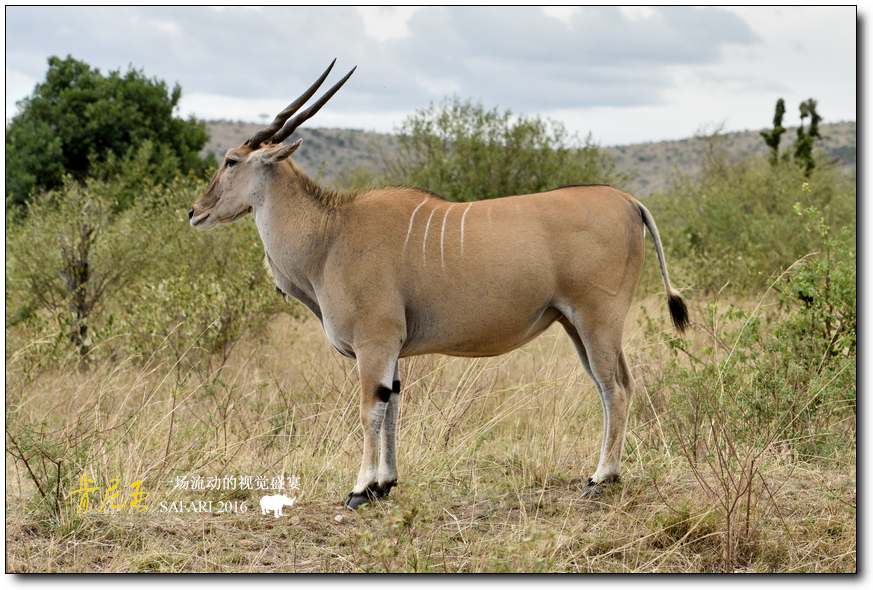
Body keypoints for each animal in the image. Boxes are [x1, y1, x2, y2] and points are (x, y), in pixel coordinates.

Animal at [191, 61, 688, 512]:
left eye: (230, 160)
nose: (196, 212)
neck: (331, 233)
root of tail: (629, 201)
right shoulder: (389, 351)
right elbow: (391, 406)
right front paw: (383, 484)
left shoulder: (374, 343)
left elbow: (370, 410)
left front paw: (360, 489)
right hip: (575, 326)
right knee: (618, 385)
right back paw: (609, 475)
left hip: (596, 320)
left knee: (614, 389)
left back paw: (600, 479)